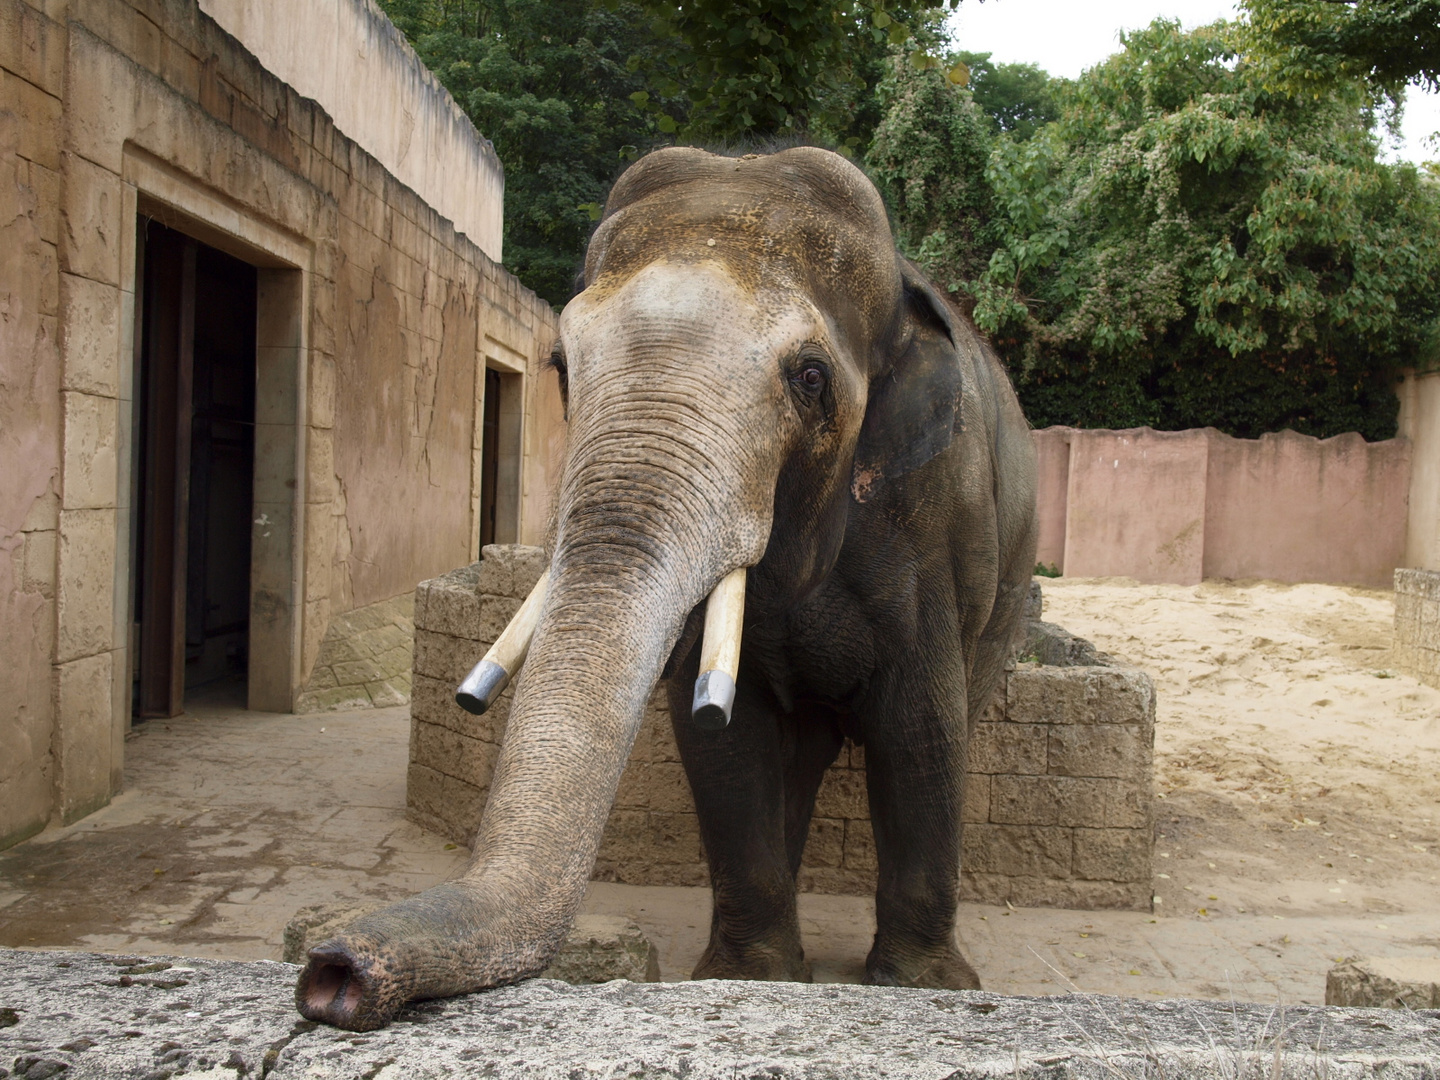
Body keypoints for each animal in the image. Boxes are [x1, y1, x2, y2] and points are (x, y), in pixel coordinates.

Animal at [295, 144, 1036, 1031]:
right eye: (560, 367)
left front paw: (924, 990)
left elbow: (920, 731)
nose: (332, 972)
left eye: (811, 377)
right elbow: (725, 741)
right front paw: (752, 978)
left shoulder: (937, 522)